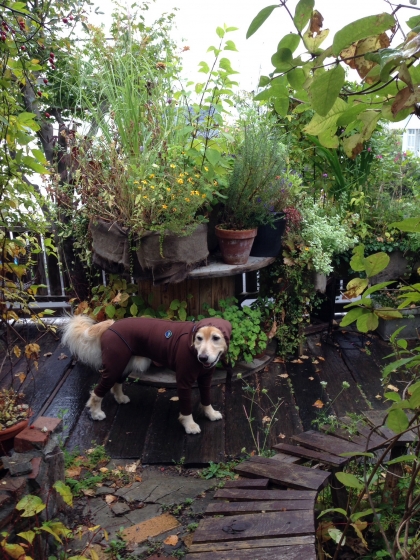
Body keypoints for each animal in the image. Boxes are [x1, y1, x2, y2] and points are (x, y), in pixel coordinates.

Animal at [61, 315, 232, 434]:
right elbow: (186, 407)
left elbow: (206, 398)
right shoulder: (184, 381)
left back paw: (120, 398)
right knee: (97, 392)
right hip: (114, 367)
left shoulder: (205, 379)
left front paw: (210, 413)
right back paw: (96, 413)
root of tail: (112, 324)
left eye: (216, 338)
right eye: (199, 338)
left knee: (116, 383)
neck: (193, 349)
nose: (203, 357)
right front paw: (189, 425)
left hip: (124, 365)